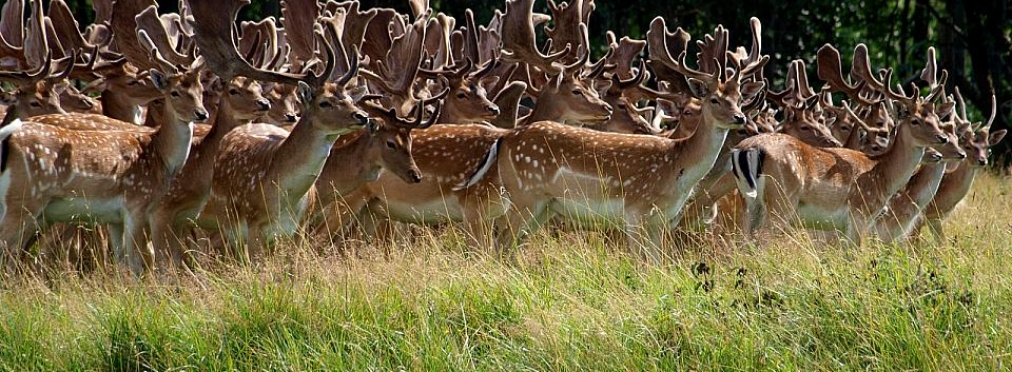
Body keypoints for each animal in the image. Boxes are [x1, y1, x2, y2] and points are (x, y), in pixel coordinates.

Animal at [491, 18, 765, 260]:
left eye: (739, 98)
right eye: (715, 99)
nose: (740, 118)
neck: (677, 168)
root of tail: (505, 140)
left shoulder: (660, 220)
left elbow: (657, 263)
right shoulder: (635, 210)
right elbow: (639, 264)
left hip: (545, 206)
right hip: (525, 194)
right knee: (501, 239)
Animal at [732, 44, 959, 244]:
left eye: (935, 119)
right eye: (915, 120)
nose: (942, 139)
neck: (882, 176)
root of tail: (747, 149)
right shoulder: (860, 214)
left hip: (750, 204)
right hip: (781, 201)